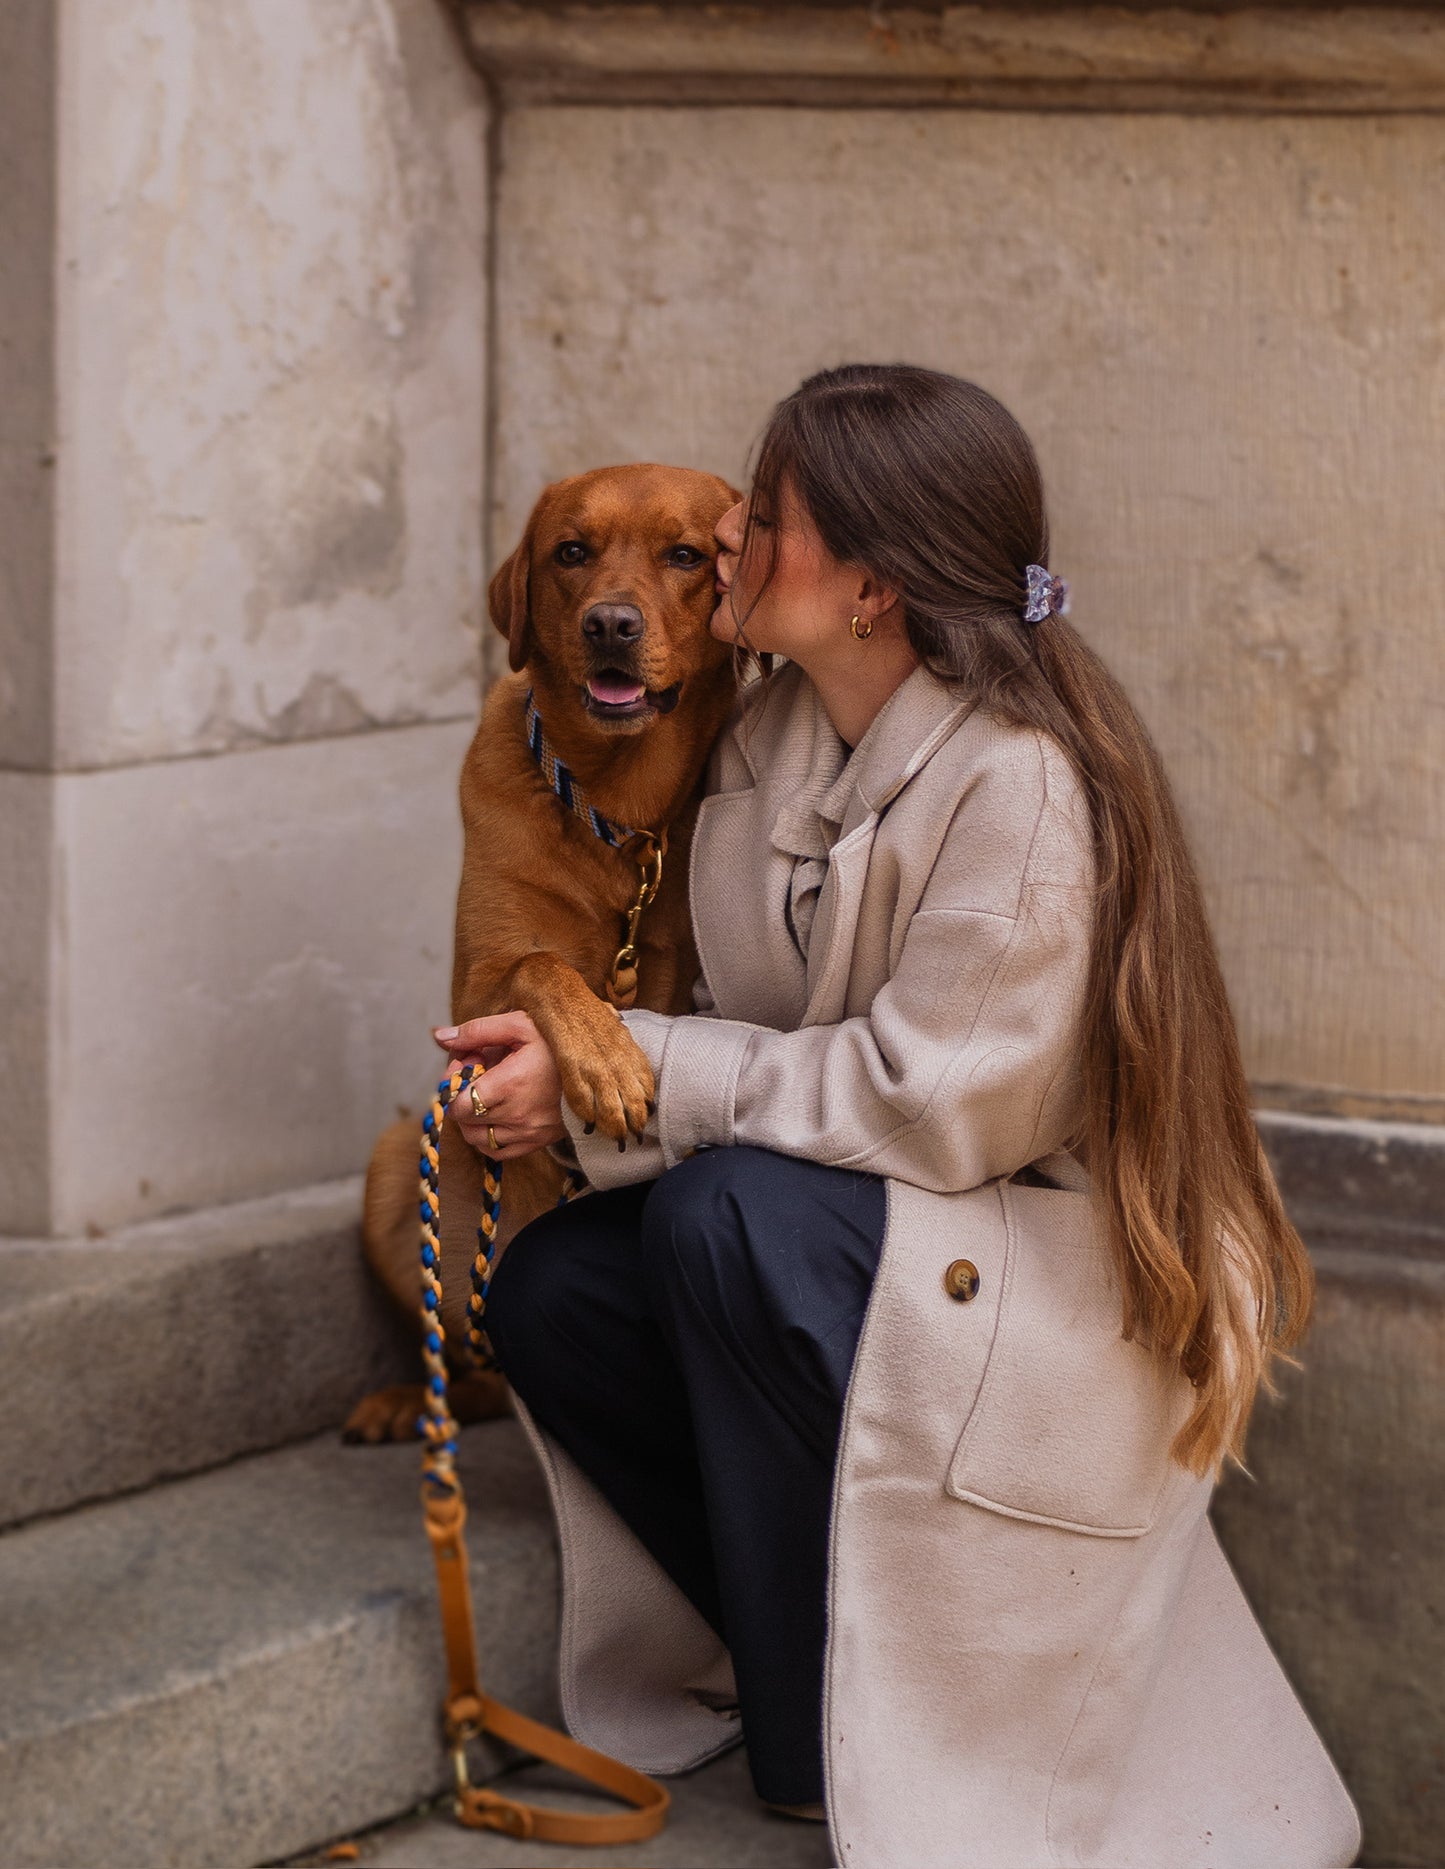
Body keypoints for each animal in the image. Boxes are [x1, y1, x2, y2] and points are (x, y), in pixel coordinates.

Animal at [343, 459, 740, 1435]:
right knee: (470, 1360)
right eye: (571, 552)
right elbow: (540, 962)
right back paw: (412, 1403)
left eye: (685, 556)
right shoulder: (475, 990)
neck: (615, 809)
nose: (609, 623)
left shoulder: (680, 978)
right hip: (395, 1166)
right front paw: (605, 1059)